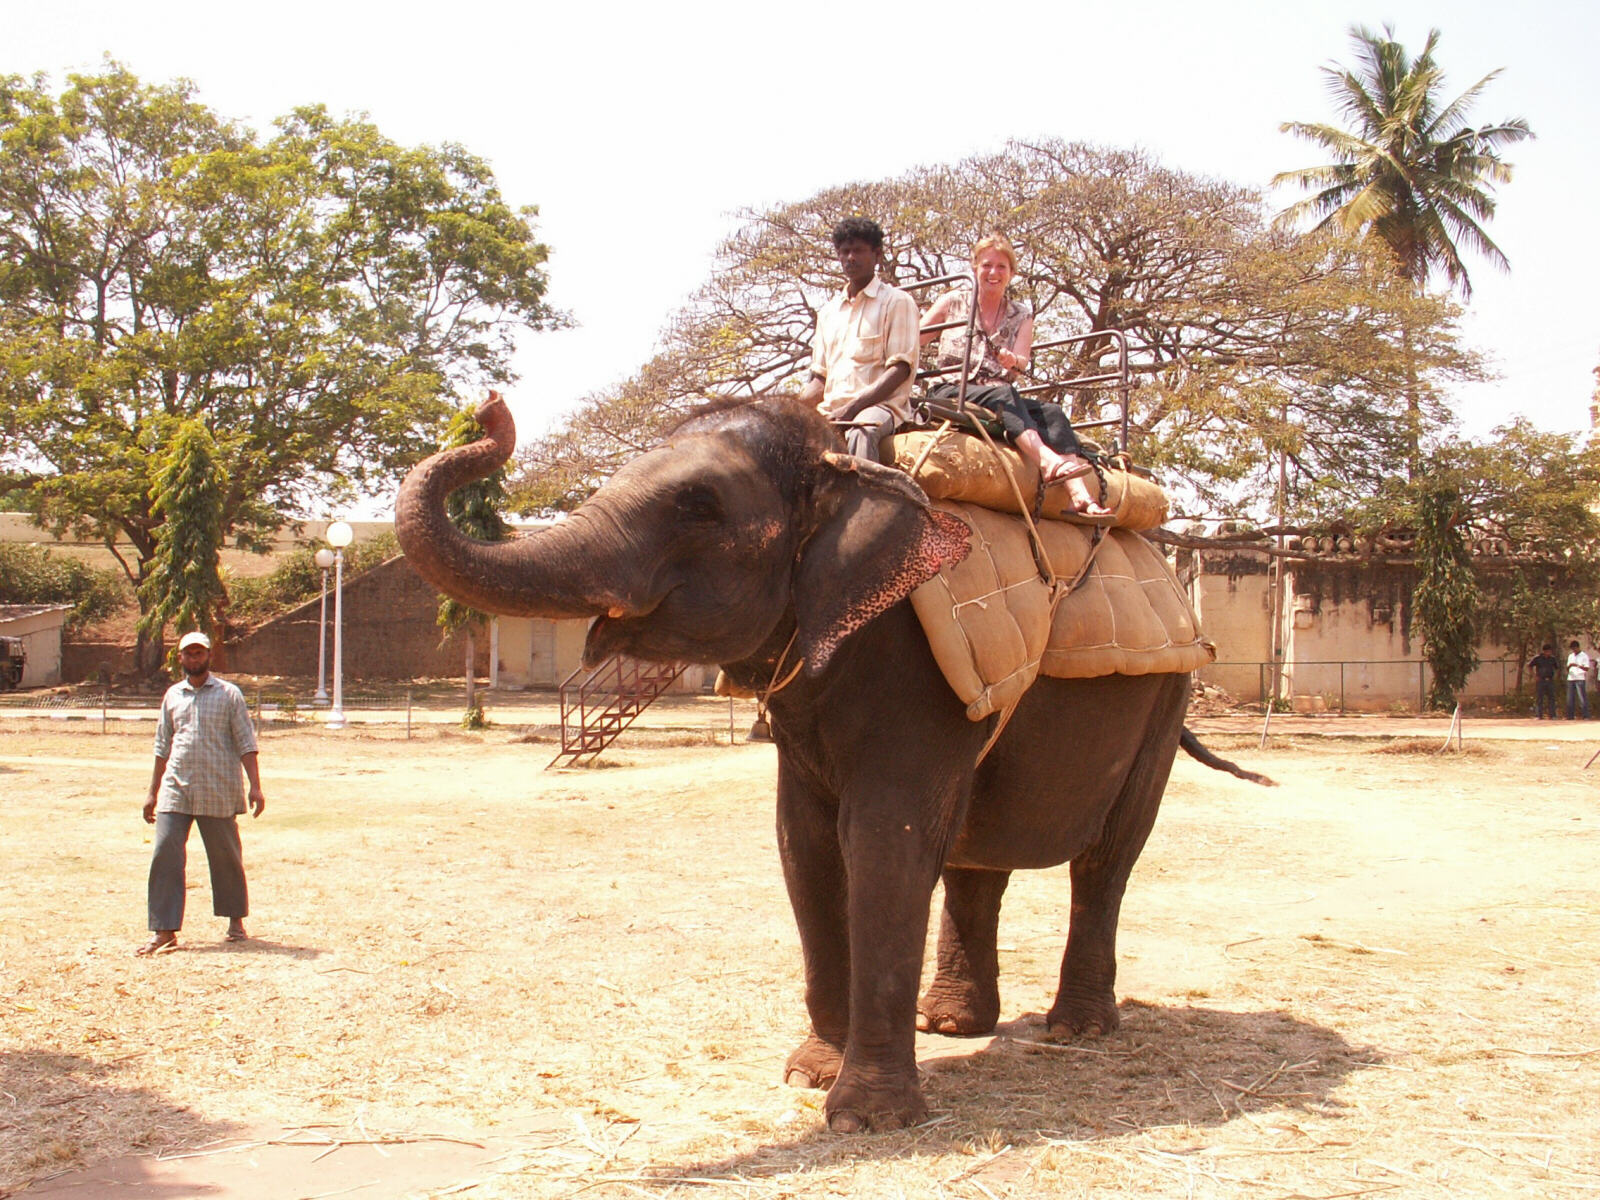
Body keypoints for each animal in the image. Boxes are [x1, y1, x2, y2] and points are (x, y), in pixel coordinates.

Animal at [396, 392, 1260, 1139]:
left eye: (698, 507)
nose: (490, 409)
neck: (840, 464)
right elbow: (803, 846)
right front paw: (809, 1074)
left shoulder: (912, 671)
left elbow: (883, 842)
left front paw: (864, 1121)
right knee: (976, 857)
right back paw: (951, 1023)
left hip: (1165, 697)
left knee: (1107, 857)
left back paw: (1075, 1030)